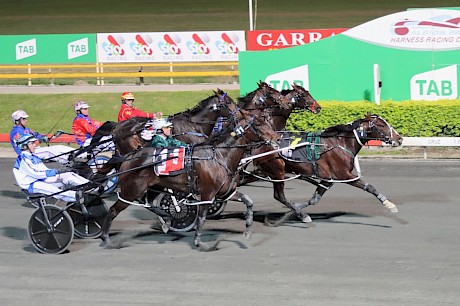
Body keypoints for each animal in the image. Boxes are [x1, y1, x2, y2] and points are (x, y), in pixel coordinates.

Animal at [100, 109, 280, 250]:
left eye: (266, 121)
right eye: (257, 124)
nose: (277, 138)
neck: (220, 156)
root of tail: (129, 156)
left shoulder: (225, 192)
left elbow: (248, 202)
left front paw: (248, 229)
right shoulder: (207, 195)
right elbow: (201, 218)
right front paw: (201, 243)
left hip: (152, 187)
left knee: (149, 203)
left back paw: (166, 220)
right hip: (131, 190)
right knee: (113, 210)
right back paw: (107, 239)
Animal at [274, 113, 402, 225]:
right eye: (381, 125)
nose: (400, 139)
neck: (341, 143)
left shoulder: (328, 178)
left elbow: (314, 199)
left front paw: (293, 211)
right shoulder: (344, 175)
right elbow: (369, 187)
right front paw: (390, 205)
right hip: (277, 172)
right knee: (279, 196)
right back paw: (302, 216)